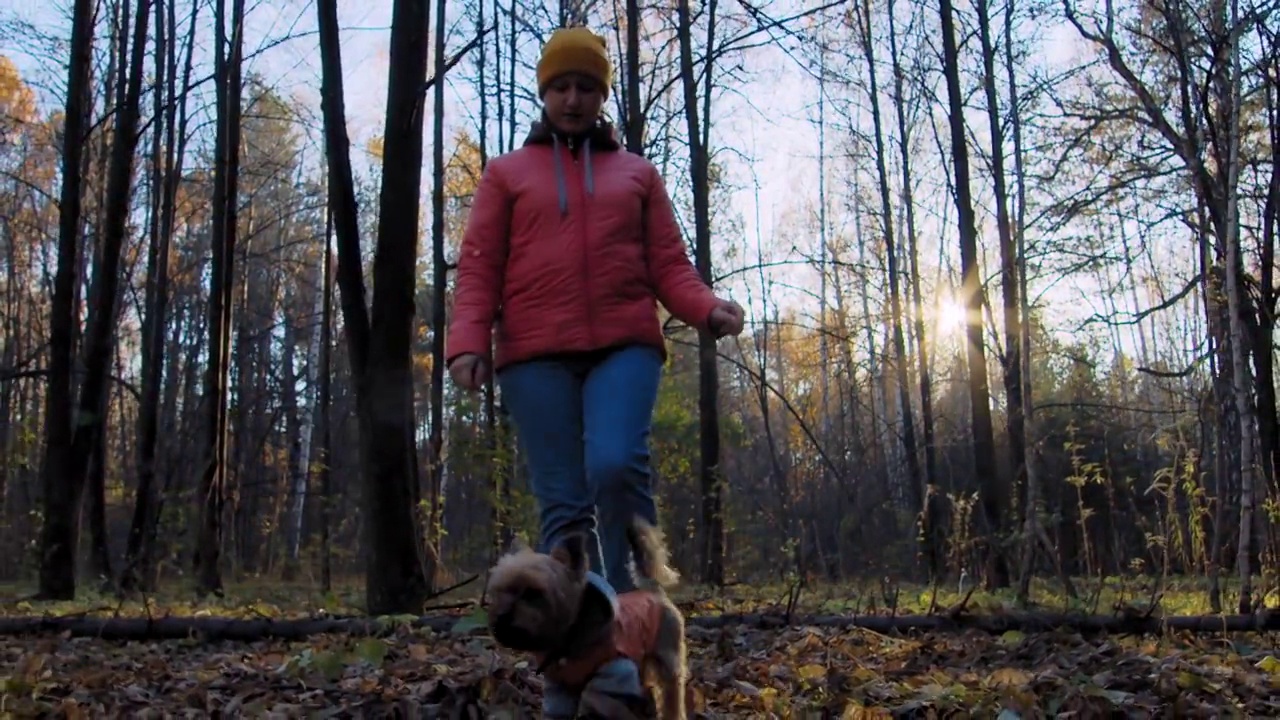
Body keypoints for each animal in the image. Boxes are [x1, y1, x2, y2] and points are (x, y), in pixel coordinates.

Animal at [481, 517, 691, 717]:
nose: (500, 618)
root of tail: (653, 590)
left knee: (672, 692)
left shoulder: (613, 676)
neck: (568, 640)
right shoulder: (559, 687)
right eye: (498, 592)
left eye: (533, 594)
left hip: (668, 657)